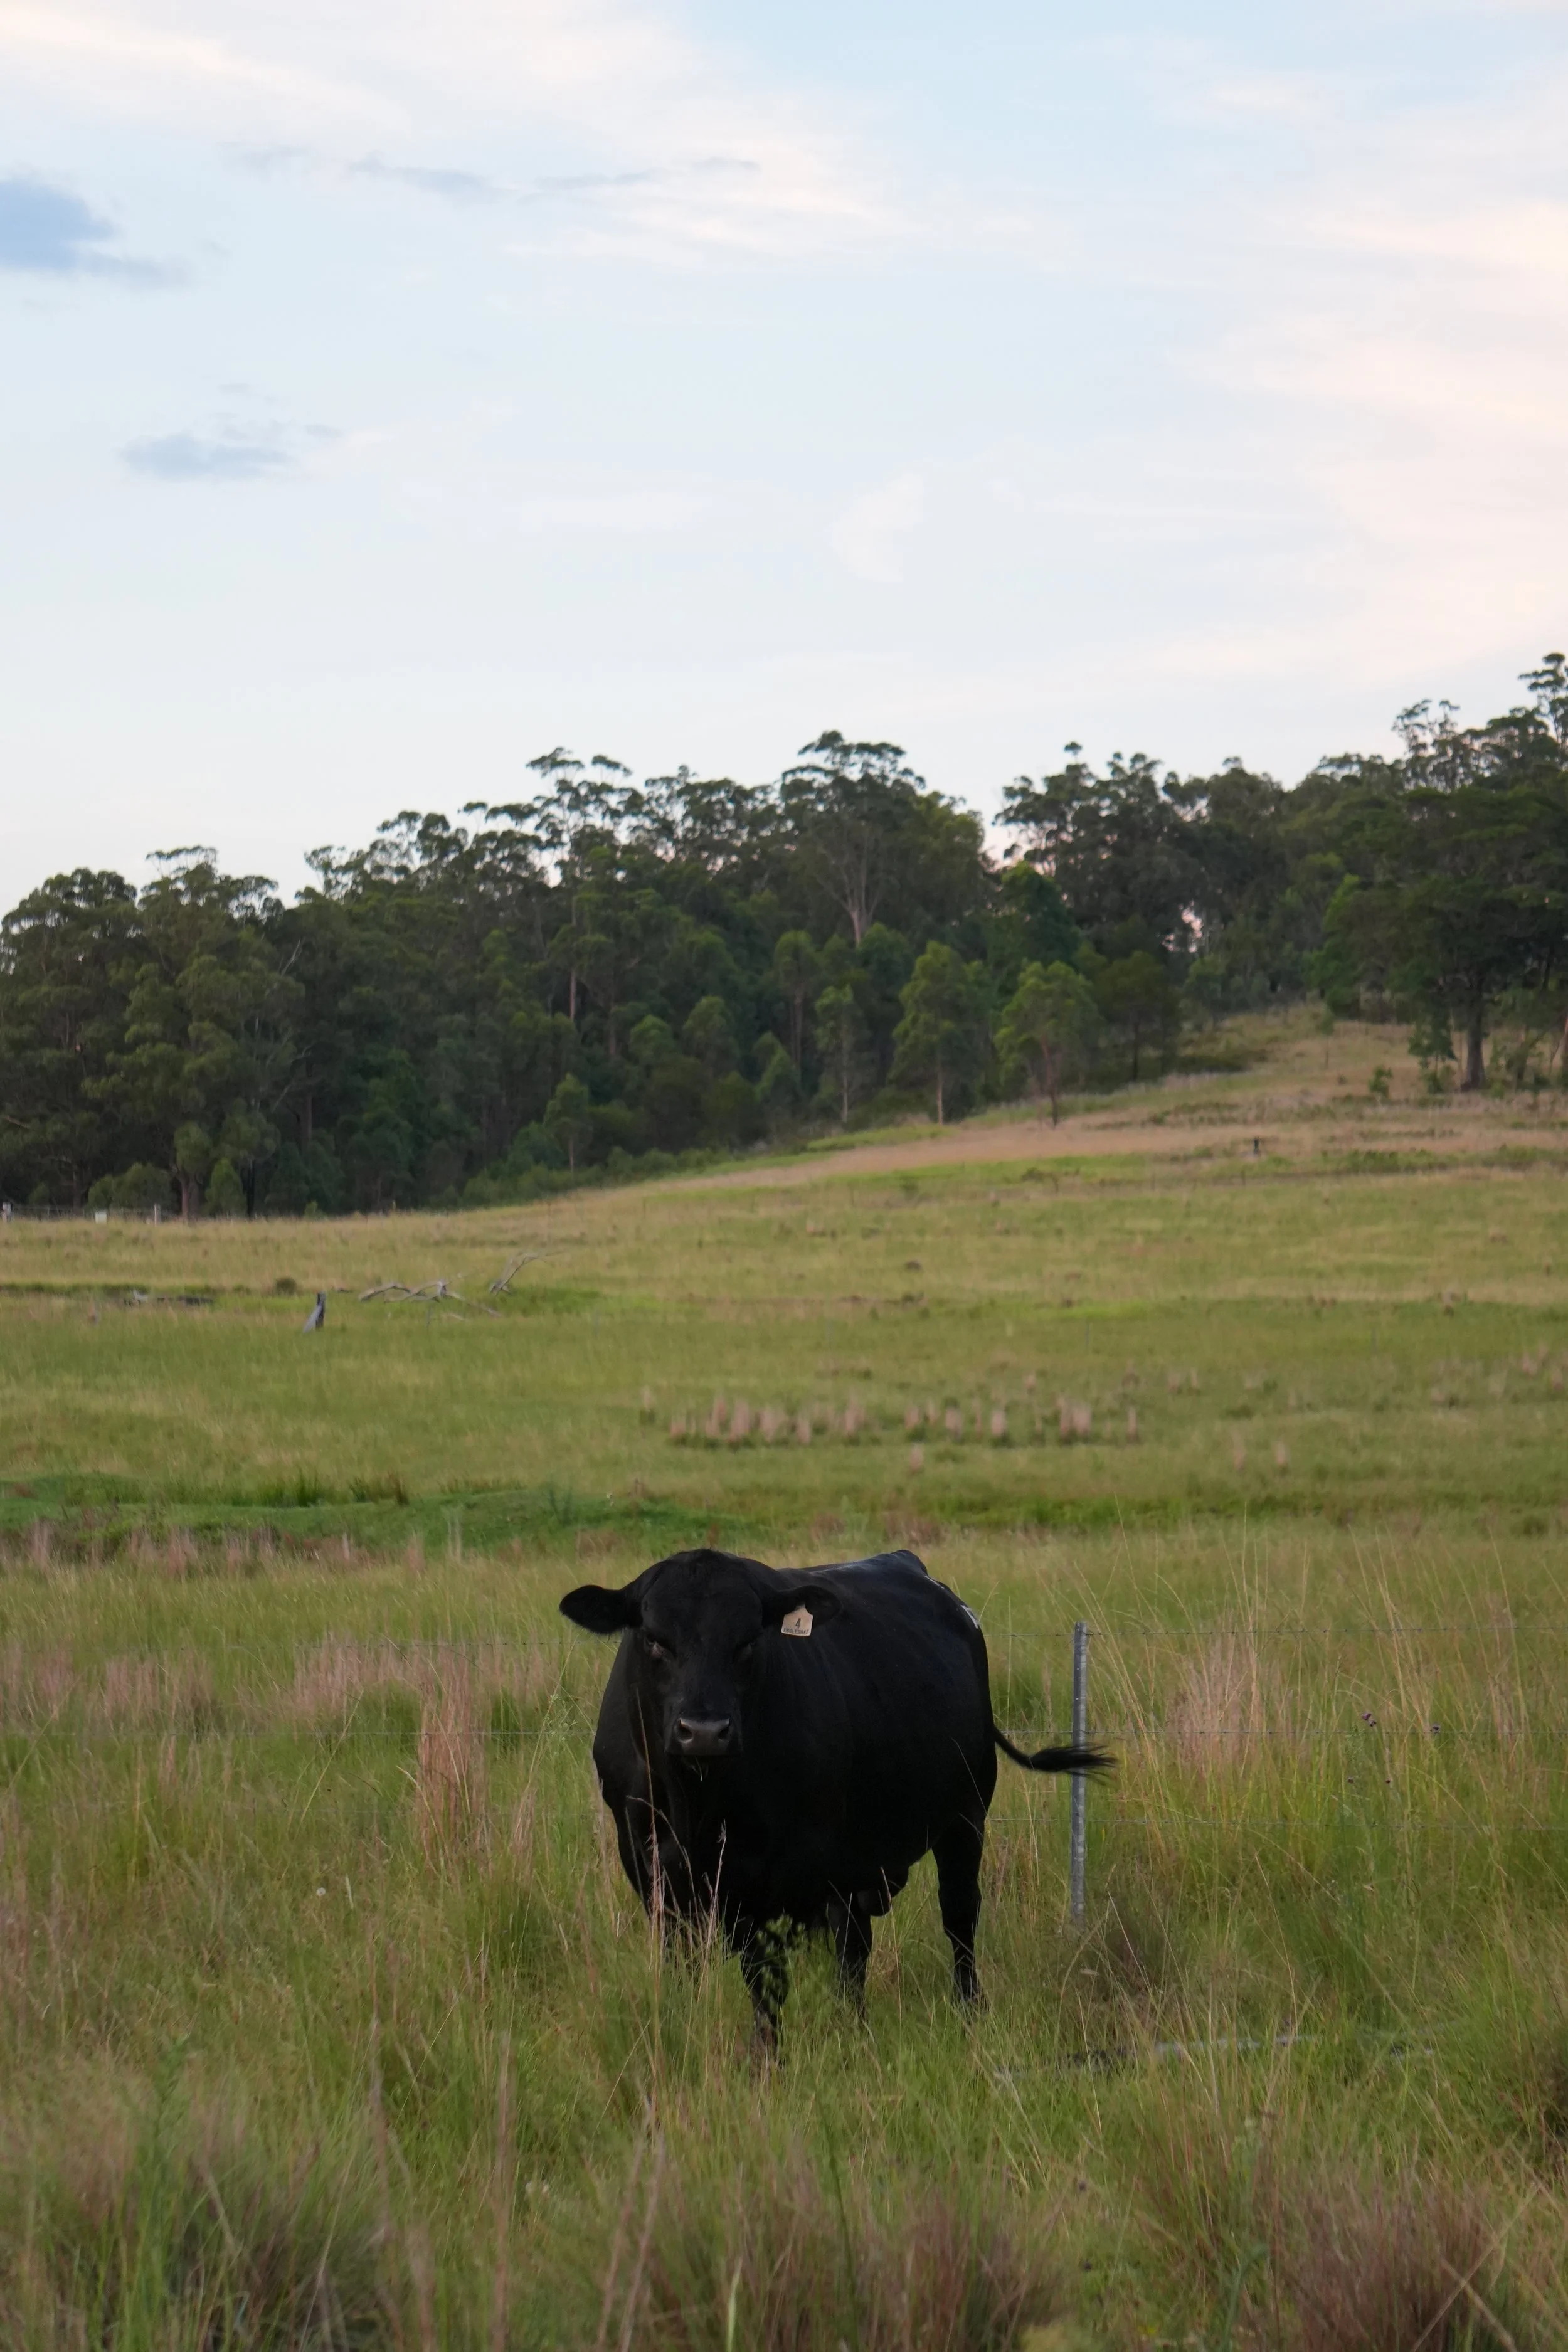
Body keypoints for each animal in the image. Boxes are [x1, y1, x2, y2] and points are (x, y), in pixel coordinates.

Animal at [559, 1543, 1111, 2040]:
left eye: (748, 1642)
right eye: (655, 1641)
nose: (704, 1731)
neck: (697, 1804)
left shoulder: (780, 1878)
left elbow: (766, 1977)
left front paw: (767, 2058)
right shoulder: (652, 1868)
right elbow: (682, 1965)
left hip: (963, 1817)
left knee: (953, 1918)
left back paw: (959, 2011)